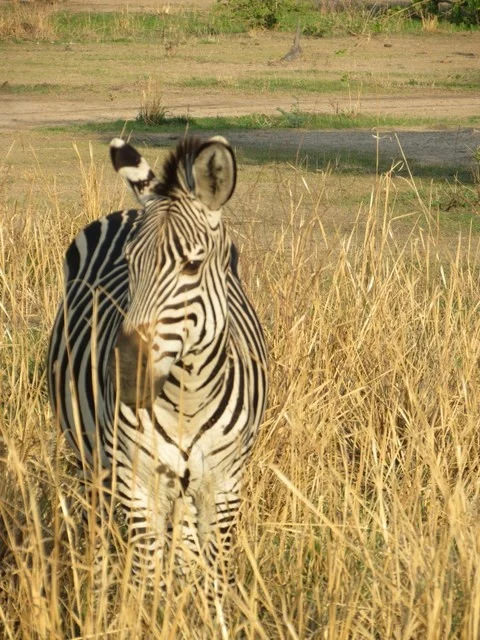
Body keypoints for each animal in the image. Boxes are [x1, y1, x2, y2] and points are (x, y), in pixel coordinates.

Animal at [47, 135, 268, 596]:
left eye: (193, 265)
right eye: (129, 264)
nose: (126, 373)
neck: (187, 396)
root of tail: (129, 207)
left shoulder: (223, 485)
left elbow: (215, 578)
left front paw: (208, 609)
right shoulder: (137, 483)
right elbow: (147, 581)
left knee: (184, 549)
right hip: (94, 463)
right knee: (100, 532)